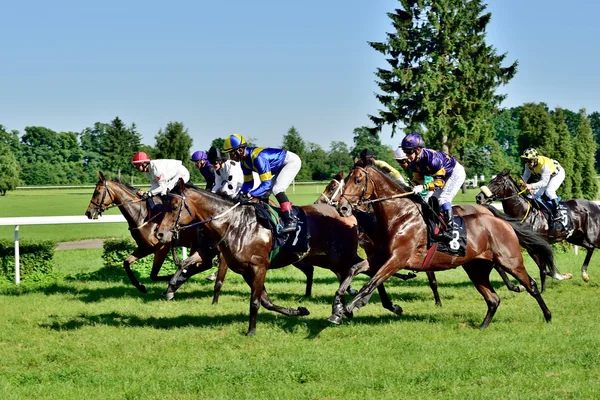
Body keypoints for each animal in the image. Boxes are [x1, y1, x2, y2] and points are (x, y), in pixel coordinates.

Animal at [85, 170, 213, 292]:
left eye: (97, 192)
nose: (88, 213)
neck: (142, 215)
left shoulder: (162, 247)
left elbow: (154, 275)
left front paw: (175, 278)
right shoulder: (145, 247)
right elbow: (126, 263)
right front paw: (140, 286)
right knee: (206, 264)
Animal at [155, 180, 406, 336]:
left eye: (174, 206)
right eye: (163, 205)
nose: (159, 233)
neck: (234, 224)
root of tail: (347, 213)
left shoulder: (259, 266)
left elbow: (255, 301)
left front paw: (251, 331)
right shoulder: (244, 270)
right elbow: (266, 301)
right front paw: (299, 311)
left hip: (340, 254)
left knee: (368, 268)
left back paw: (372, 305)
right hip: (326, 258)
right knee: (363, 270)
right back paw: (358, 306)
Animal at [330, 164, 552, 330]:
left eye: (358, 180)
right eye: (346, 180)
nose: (342, 207)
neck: (400, 216)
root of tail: (501, 221)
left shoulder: (397, 259)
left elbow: (371, 283)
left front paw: (352, 306)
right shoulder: (380, 257)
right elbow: (353, 269)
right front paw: (336, 309)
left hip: (510, 261)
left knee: (531, 285)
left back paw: (548, 316)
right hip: (476, 268)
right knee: (493, 299)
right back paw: (482, 327)